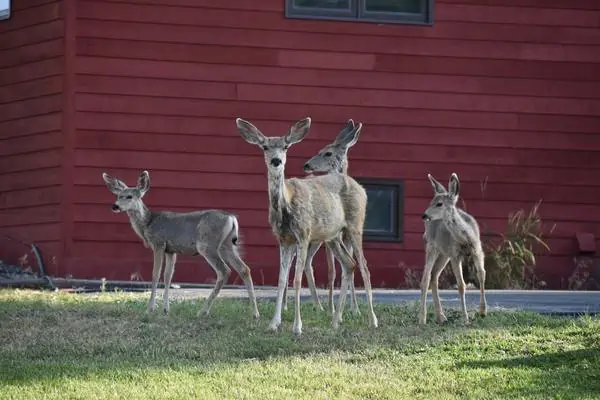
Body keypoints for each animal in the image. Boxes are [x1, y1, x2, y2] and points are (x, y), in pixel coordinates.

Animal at [101, 170, 260, 320]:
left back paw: (203, 311)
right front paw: (165, 309)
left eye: (129, 196)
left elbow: (155, 274)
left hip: (207, 245)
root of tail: (232, 218)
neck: (148, 223)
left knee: (224, 271)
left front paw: (150, 309)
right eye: (118, 195)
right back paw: (255, 314)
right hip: (226, 245)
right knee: (244, 269)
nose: (115, 206)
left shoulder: (158, 243)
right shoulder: (171, 250)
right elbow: (168, 276)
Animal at [233, 117, 376, 336]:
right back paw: (335, 321)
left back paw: (371, 320)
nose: (276, 161)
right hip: (333, 236)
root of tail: (360, 188)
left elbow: (297, 280)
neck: (286, 206)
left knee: (364, 267)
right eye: (265, 147)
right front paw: (274, 323)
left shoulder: (304, 234)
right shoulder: (283, 239)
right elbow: (282, 280)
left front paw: (297, 326)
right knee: (349, 264)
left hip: (354, 225)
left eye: (286, 146)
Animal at [420, 172, 486, 324]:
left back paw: (441, 316)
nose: (424, 215)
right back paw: (422, 318)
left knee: (434, 275)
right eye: (431, 201)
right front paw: (465, 317)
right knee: (425, 278)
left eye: (439, 203)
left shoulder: (478, 250)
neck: (466, 239)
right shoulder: (455, 255)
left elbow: (481, 274)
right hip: (432, 246)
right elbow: (461, 285)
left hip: (444, 254)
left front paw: (483, 311)